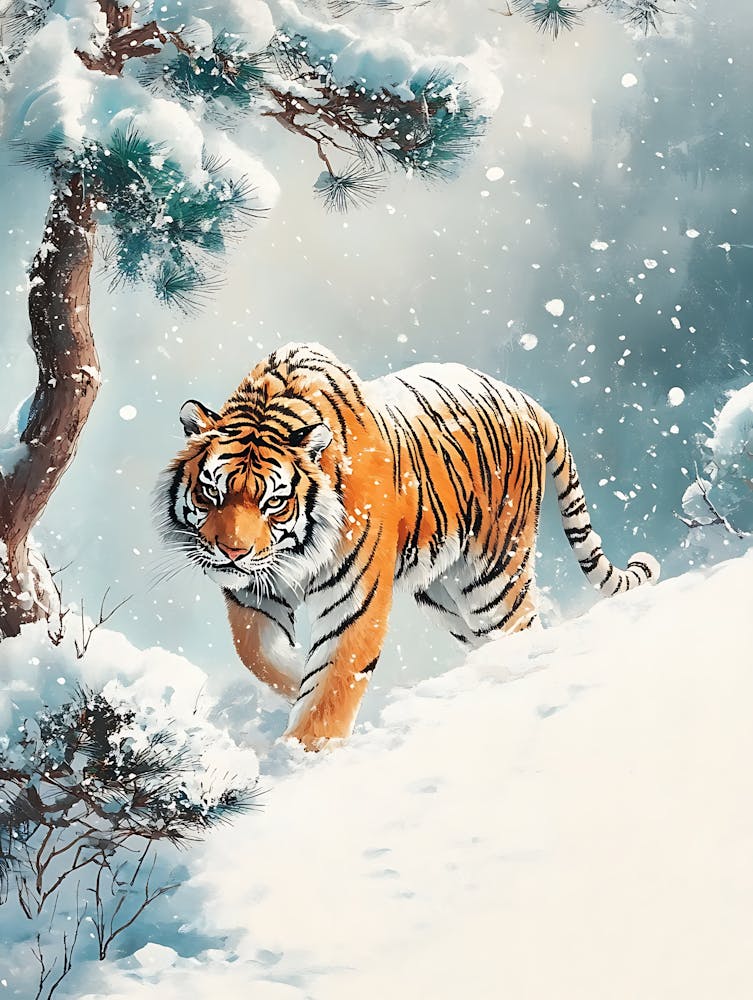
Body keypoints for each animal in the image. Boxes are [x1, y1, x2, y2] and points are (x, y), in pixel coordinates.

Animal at [157, 343, 659, 750]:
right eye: (211, 492)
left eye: (274, 503)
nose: (232, 552)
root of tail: (526, 401)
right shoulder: (253, 594)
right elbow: (259, 655)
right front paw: (296, 682)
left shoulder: (353, 599)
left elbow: (334, 680)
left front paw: (305, 752)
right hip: (443, 592)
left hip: (494, 578)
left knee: (521, 629)